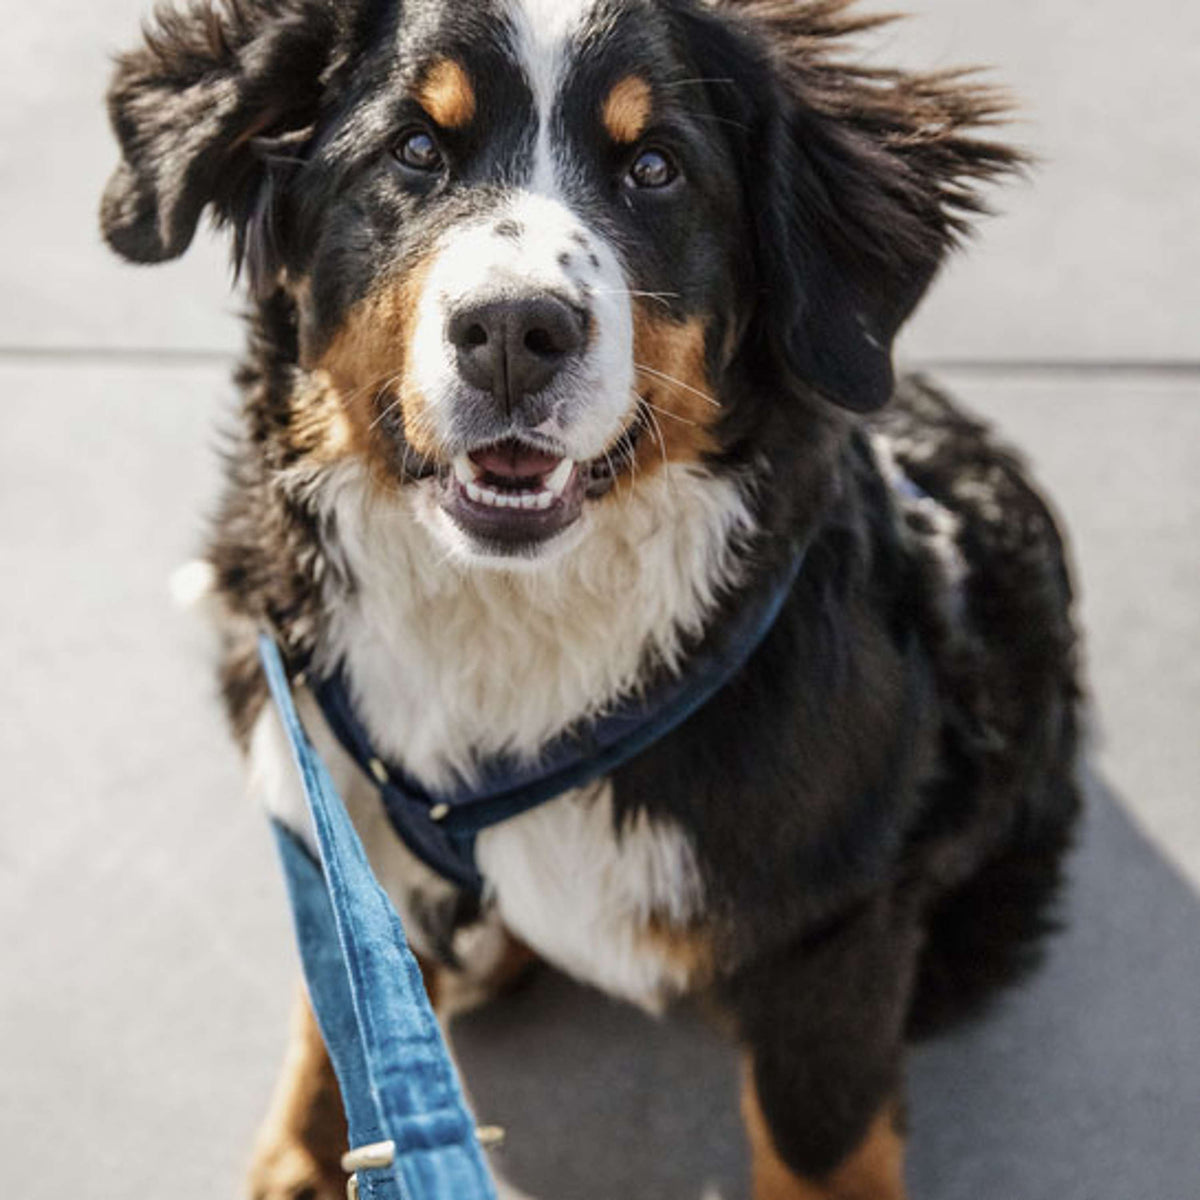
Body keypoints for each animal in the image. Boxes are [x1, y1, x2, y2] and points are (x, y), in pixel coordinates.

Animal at [100, 2, 1080, 1200]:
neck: (506, 619)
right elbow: (345, 1001)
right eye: (414, 149)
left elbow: (818, 1143)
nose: (514, 332)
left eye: (654, 167)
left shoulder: (834, 937)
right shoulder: (317, 788)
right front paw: (312, 1150)